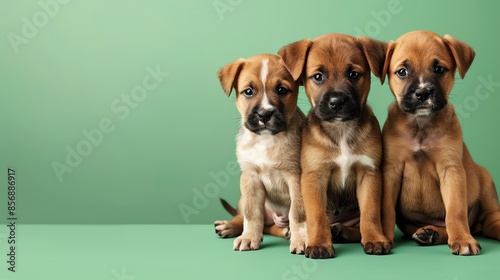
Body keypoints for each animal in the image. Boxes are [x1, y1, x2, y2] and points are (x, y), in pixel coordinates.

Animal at [213, 53, 306, 254]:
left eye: (281, 90)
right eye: (248, 91)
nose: (264, 115)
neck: (266, 139)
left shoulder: (296, 178)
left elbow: (298, 213)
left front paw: (302, 239)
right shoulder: (250, 178)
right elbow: (252, 214)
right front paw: (249, 238)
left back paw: (288, 232)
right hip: (244, 196)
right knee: (252, 219)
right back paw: (230, 226)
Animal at [280, 33, 392, 258]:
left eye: (354, 74)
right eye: (318, 76)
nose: (337, 101)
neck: (341, 130)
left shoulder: (369, 174)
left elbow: (370, 213)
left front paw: (375, 238)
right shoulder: (314, 176)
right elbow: (317, 216)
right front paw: (320, 244)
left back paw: (343, 231)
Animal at [378, 30, 500, 256]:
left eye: (439, 69)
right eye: (402, 72)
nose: (423, 93)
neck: (421, 125)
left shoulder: (451, 170)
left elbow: (455, 211)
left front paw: (462, 239)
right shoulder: (390, 171)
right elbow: (386, 210)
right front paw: (383, 236)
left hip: (486, 185)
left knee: (488, 221)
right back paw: (430, 234)